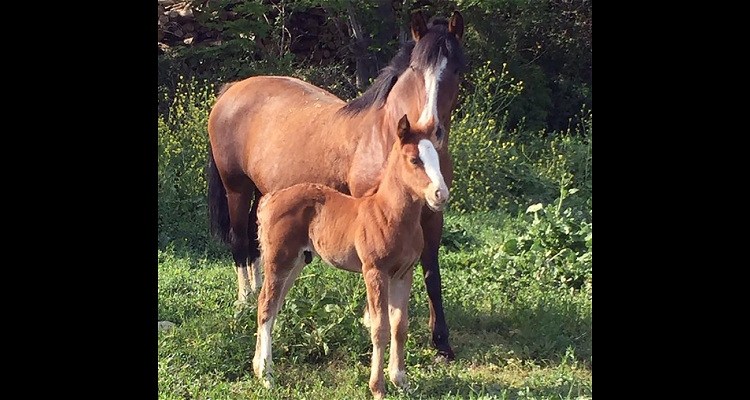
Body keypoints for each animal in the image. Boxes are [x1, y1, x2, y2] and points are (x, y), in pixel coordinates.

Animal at [209, 10, 468, 360]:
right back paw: (245, 299)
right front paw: (371, 317)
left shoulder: (432, 214)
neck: (386, 136)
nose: (431, 127)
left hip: (265, 192)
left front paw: (442, 343)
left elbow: (432, 272)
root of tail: (232, 89)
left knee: (256, 240)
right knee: (239, 241)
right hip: (236, 187)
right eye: (416, 68)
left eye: (456, 68)